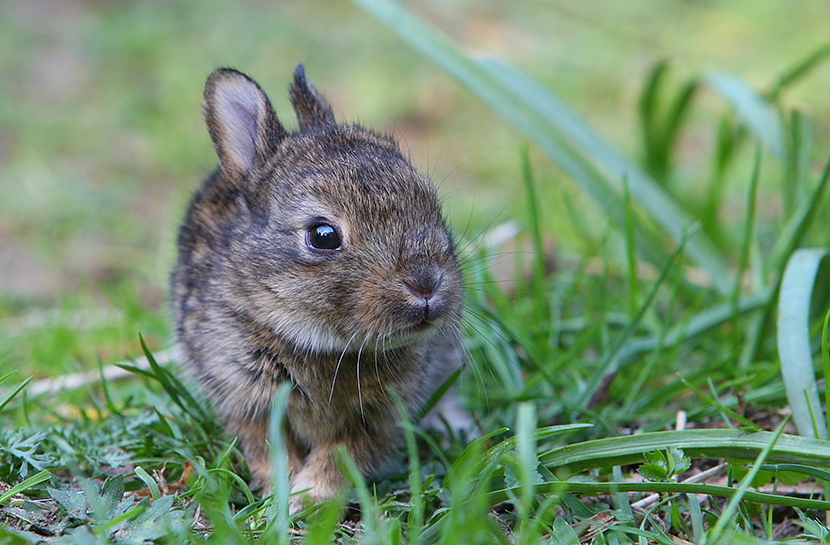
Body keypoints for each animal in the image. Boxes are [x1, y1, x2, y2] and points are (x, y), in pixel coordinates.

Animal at [173, 66, 468, 512]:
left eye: (431, 204)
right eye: (323, 236)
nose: (426, 286)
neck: (328, 344)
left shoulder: (380, 415)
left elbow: (346, 453)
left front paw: (310, 497)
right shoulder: (248, 398)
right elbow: (269, 448)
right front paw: (285, 495)